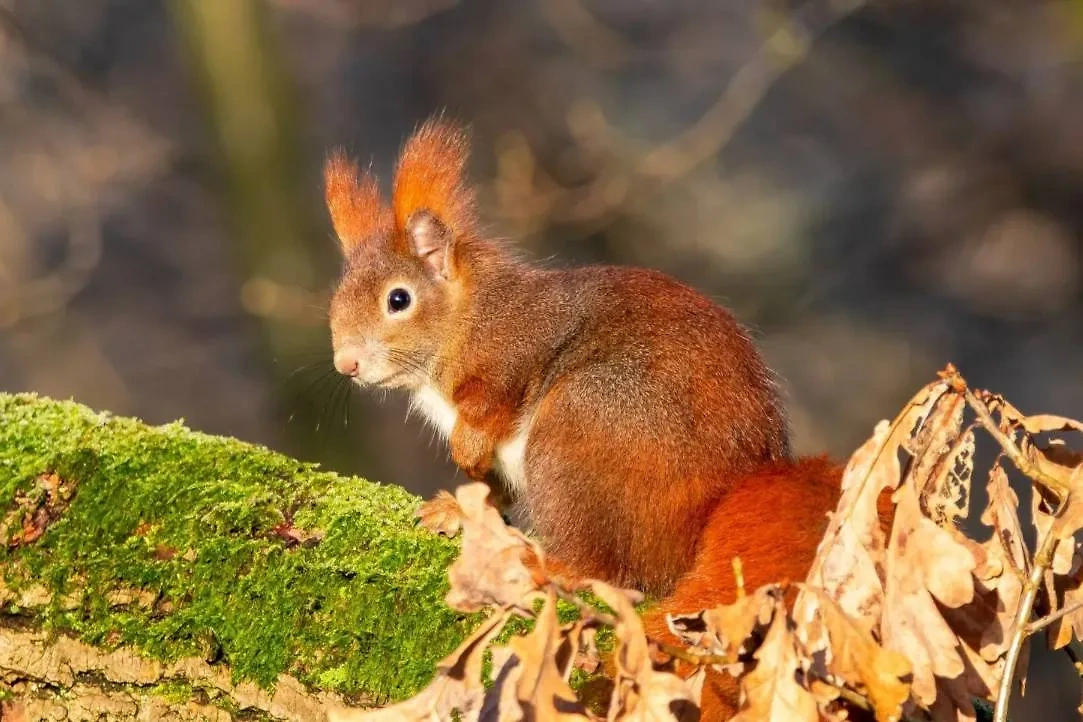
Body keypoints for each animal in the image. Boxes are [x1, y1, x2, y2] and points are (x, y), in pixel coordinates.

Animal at [324, 118, 849, 718]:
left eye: (399, 300)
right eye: (335, 299)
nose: (345, 364)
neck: (466, 317)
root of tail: (719, 497)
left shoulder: (515, 350)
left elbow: (493, 406)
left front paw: (465, 450)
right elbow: (495, 489)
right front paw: (458, 506)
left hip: (579, 428)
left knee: (592, 571)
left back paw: (538, 562)